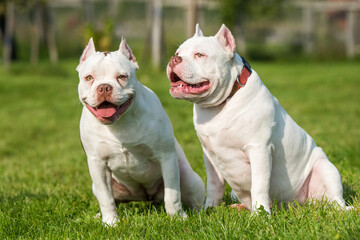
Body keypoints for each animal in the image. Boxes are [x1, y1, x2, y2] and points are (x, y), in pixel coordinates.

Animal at [76, 37, 205, 225]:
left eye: (122, 77)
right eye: (89, 78)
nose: (105, 87)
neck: (120, 123)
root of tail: (146, 197)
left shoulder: (166, 157)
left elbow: (173, 194)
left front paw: (177, 217)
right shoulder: (97, 164)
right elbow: (106, 198)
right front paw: (111, 223)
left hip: (190, 179)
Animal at [167, 24, 352, 214]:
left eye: (200, 55)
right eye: (178, 52)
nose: (174, 59)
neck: (221, 104)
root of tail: (292, 206)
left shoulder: (259, 149)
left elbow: (259, 185)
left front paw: (260, 214)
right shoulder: (210, 157)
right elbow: (213, 185)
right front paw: (209, 209)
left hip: (325, 168)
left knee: (335, 201)